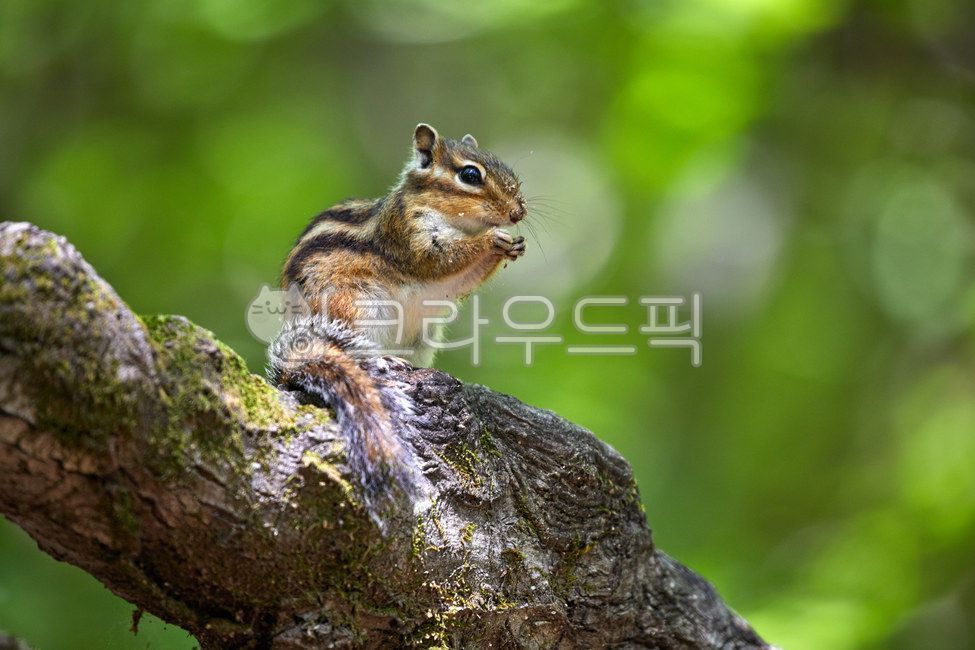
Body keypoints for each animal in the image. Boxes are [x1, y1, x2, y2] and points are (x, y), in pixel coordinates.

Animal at [267, 123, 527, 510]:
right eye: (470, 175)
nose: (518, 212)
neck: (457, 223)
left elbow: (460, 278)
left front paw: (511, 245)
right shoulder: (407, 234)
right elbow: (438, 260)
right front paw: (492, 239)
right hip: (354, 307)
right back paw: (384, 359)